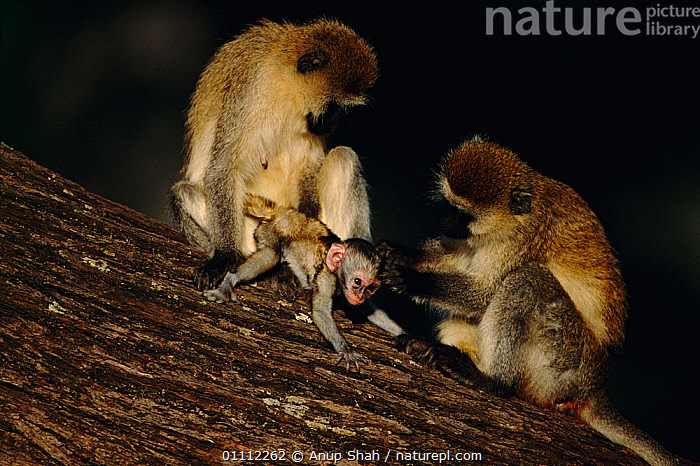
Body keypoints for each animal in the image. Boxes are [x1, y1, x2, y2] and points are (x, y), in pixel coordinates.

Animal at [169, 18, 378, 291]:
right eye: (334, 106)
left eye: (342, 110)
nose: (333, 124)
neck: (287, 87)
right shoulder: (251, 88)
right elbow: (224, 165)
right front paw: (225, 256)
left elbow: (309, 165)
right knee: (183, 193)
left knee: (344, 158)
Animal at [204, 194, 404, 370]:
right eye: (357, 281)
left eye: (370, 288)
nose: (360, 296)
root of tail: (278, 211)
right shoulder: (327, 278)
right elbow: (321, 312)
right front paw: (345, 349)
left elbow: (368, 311)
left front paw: (406, 337)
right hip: (271, 229)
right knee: (271, 254)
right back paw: (231, 279)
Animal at [378, 138, 677, 466]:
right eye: (447, 205)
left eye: (463, 214)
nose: (444, 221)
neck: (514, 218)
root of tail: (594, 385)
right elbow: (455, 255)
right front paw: (398, 253)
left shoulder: (524, 239)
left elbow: (484, 295)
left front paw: (411, 279)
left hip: (564, 361)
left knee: (527, 280)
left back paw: (490, 380)